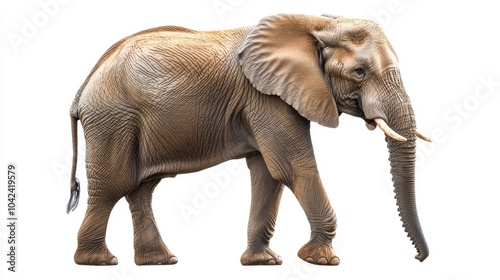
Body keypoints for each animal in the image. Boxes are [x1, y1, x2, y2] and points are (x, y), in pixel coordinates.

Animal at [67, 13, 430, 266]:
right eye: (359, 72)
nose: (419, 258)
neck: (318, 23)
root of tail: (83, 88)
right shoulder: (266, 98)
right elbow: (293, 167)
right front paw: (323, 260)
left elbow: (268, 174)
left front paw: (263, 262)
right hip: (113, 118)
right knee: (113, 185)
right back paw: (99, 262)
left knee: (141, 189)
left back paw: (160, 261)